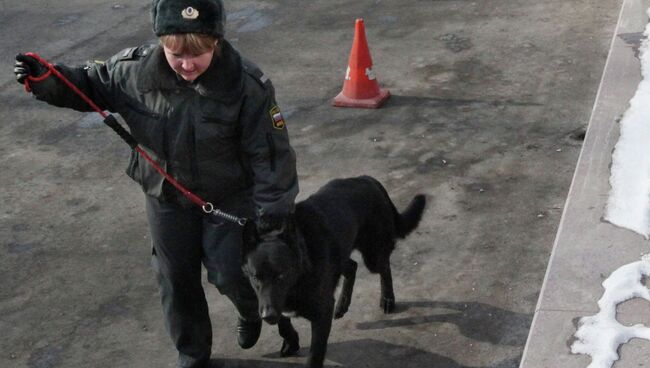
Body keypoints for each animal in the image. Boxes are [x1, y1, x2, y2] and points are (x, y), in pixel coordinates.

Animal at [240, 176, 422, 368]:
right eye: (255, 277)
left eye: (282, 275)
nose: (267, 316)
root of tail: (367, 179)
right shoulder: (273, 303)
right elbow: (283, 321)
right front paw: (291, 341)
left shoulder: (321, 315)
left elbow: (315, 355)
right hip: (340, 255)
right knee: (352, 267)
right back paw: (342, 304)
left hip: (373, 256)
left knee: (385, 268)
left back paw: (387, 299)